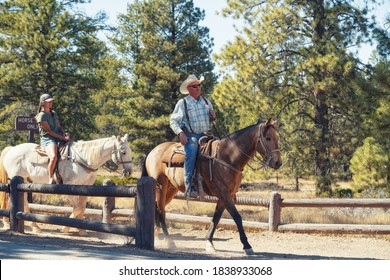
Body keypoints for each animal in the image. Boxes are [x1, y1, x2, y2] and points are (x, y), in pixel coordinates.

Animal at [0, 135, 133, 235]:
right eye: (123, 152)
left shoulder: (85, 187)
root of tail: (11, 149)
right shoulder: (70, 187)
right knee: (12, 199)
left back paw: (32, 226)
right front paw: (66, 228)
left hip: (25, 182)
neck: (84, 159)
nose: (129, 172)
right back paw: (20, 225)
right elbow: (77, 208)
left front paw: (81, 229)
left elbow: (82, 207)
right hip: (17, 179)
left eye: (130, 151)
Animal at [142, 118, 280, 254]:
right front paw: (247, 245)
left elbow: (216, 218)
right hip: (160, 187)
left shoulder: (226, 195)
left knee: (158, 210)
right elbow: (237, 217)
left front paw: (209, 243)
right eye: (268, 138)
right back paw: (170, 242)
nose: (278, 162)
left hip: (171, 190)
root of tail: (152, 151)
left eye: (277, 138)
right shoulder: (223, 193)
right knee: (160, 211)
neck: (227, 157)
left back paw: (157, 236)